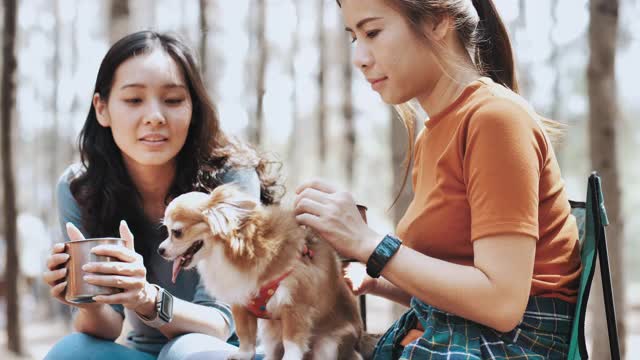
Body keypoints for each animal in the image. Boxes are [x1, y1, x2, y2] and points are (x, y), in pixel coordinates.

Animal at [158, 184, 362, 358]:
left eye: (176, 232)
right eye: (166, 231)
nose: (160, 250)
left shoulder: (295, 307)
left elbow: (292, 343)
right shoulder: (241, 303)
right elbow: (245, 336)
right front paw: (242, 355)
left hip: (329, 344)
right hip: (270, 332)